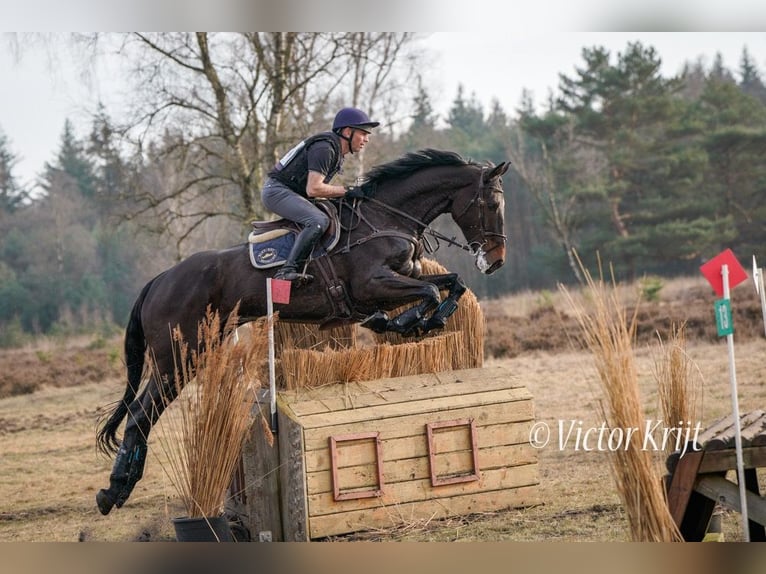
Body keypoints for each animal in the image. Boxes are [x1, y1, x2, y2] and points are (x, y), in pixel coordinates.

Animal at [95, 148, 510, 515]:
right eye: (492, 205)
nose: (495, 262)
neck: (384, 218)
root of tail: (159, 280)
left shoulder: (406, 276)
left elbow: (451, 284)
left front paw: (425, 321)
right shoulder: (373, 284)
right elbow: (428, 292)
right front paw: (404, 322)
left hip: (193, 352)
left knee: (143, 415)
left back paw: (119, 488)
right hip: (178, 356)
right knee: (139, 415)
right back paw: (113, 491)